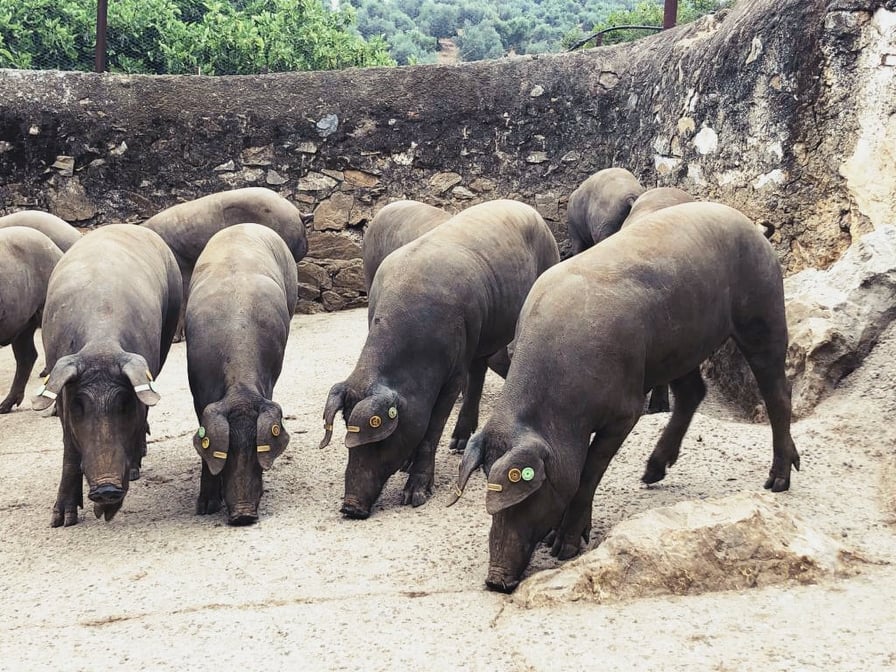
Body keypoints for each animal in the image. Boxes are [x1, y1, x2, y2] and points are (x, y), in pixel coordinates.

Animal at [32, 225, 182, 527]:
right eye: (78, 406)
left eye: (125, 404)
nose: (106, 489)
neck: (101, 346)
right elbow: (69, 448)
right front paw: (61, 520)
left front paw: (106, 512)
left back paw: (136, 469)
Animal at [185, 224, 297, 525]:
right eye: (230, 452)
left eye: (255, 451)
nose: (243, 515)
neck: (240, 387)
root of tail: (244, 225)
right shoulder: (198, 389)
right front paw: (206, 507)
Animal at [320, 199, 560, 519]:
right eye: (346, 426)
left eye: (382, 440)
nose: (350, 507)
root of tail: (529, 210)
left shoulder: (452, 374)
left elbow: (433, 427)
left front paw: (415, 497)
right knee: (479, 368)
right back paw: (458, 444)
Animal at [451, 202, 800, 592]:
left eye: (530, 496)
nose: (495, 580)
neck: (563, 412)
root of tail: (753, 227)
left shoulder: (625, 411)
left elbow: (589, 470)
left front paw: (564, 547)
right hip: (677, 348)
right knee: (694, 392)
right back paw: (651, 474)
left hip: (763, 310)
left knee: (778, 391)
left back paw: (777, 482)